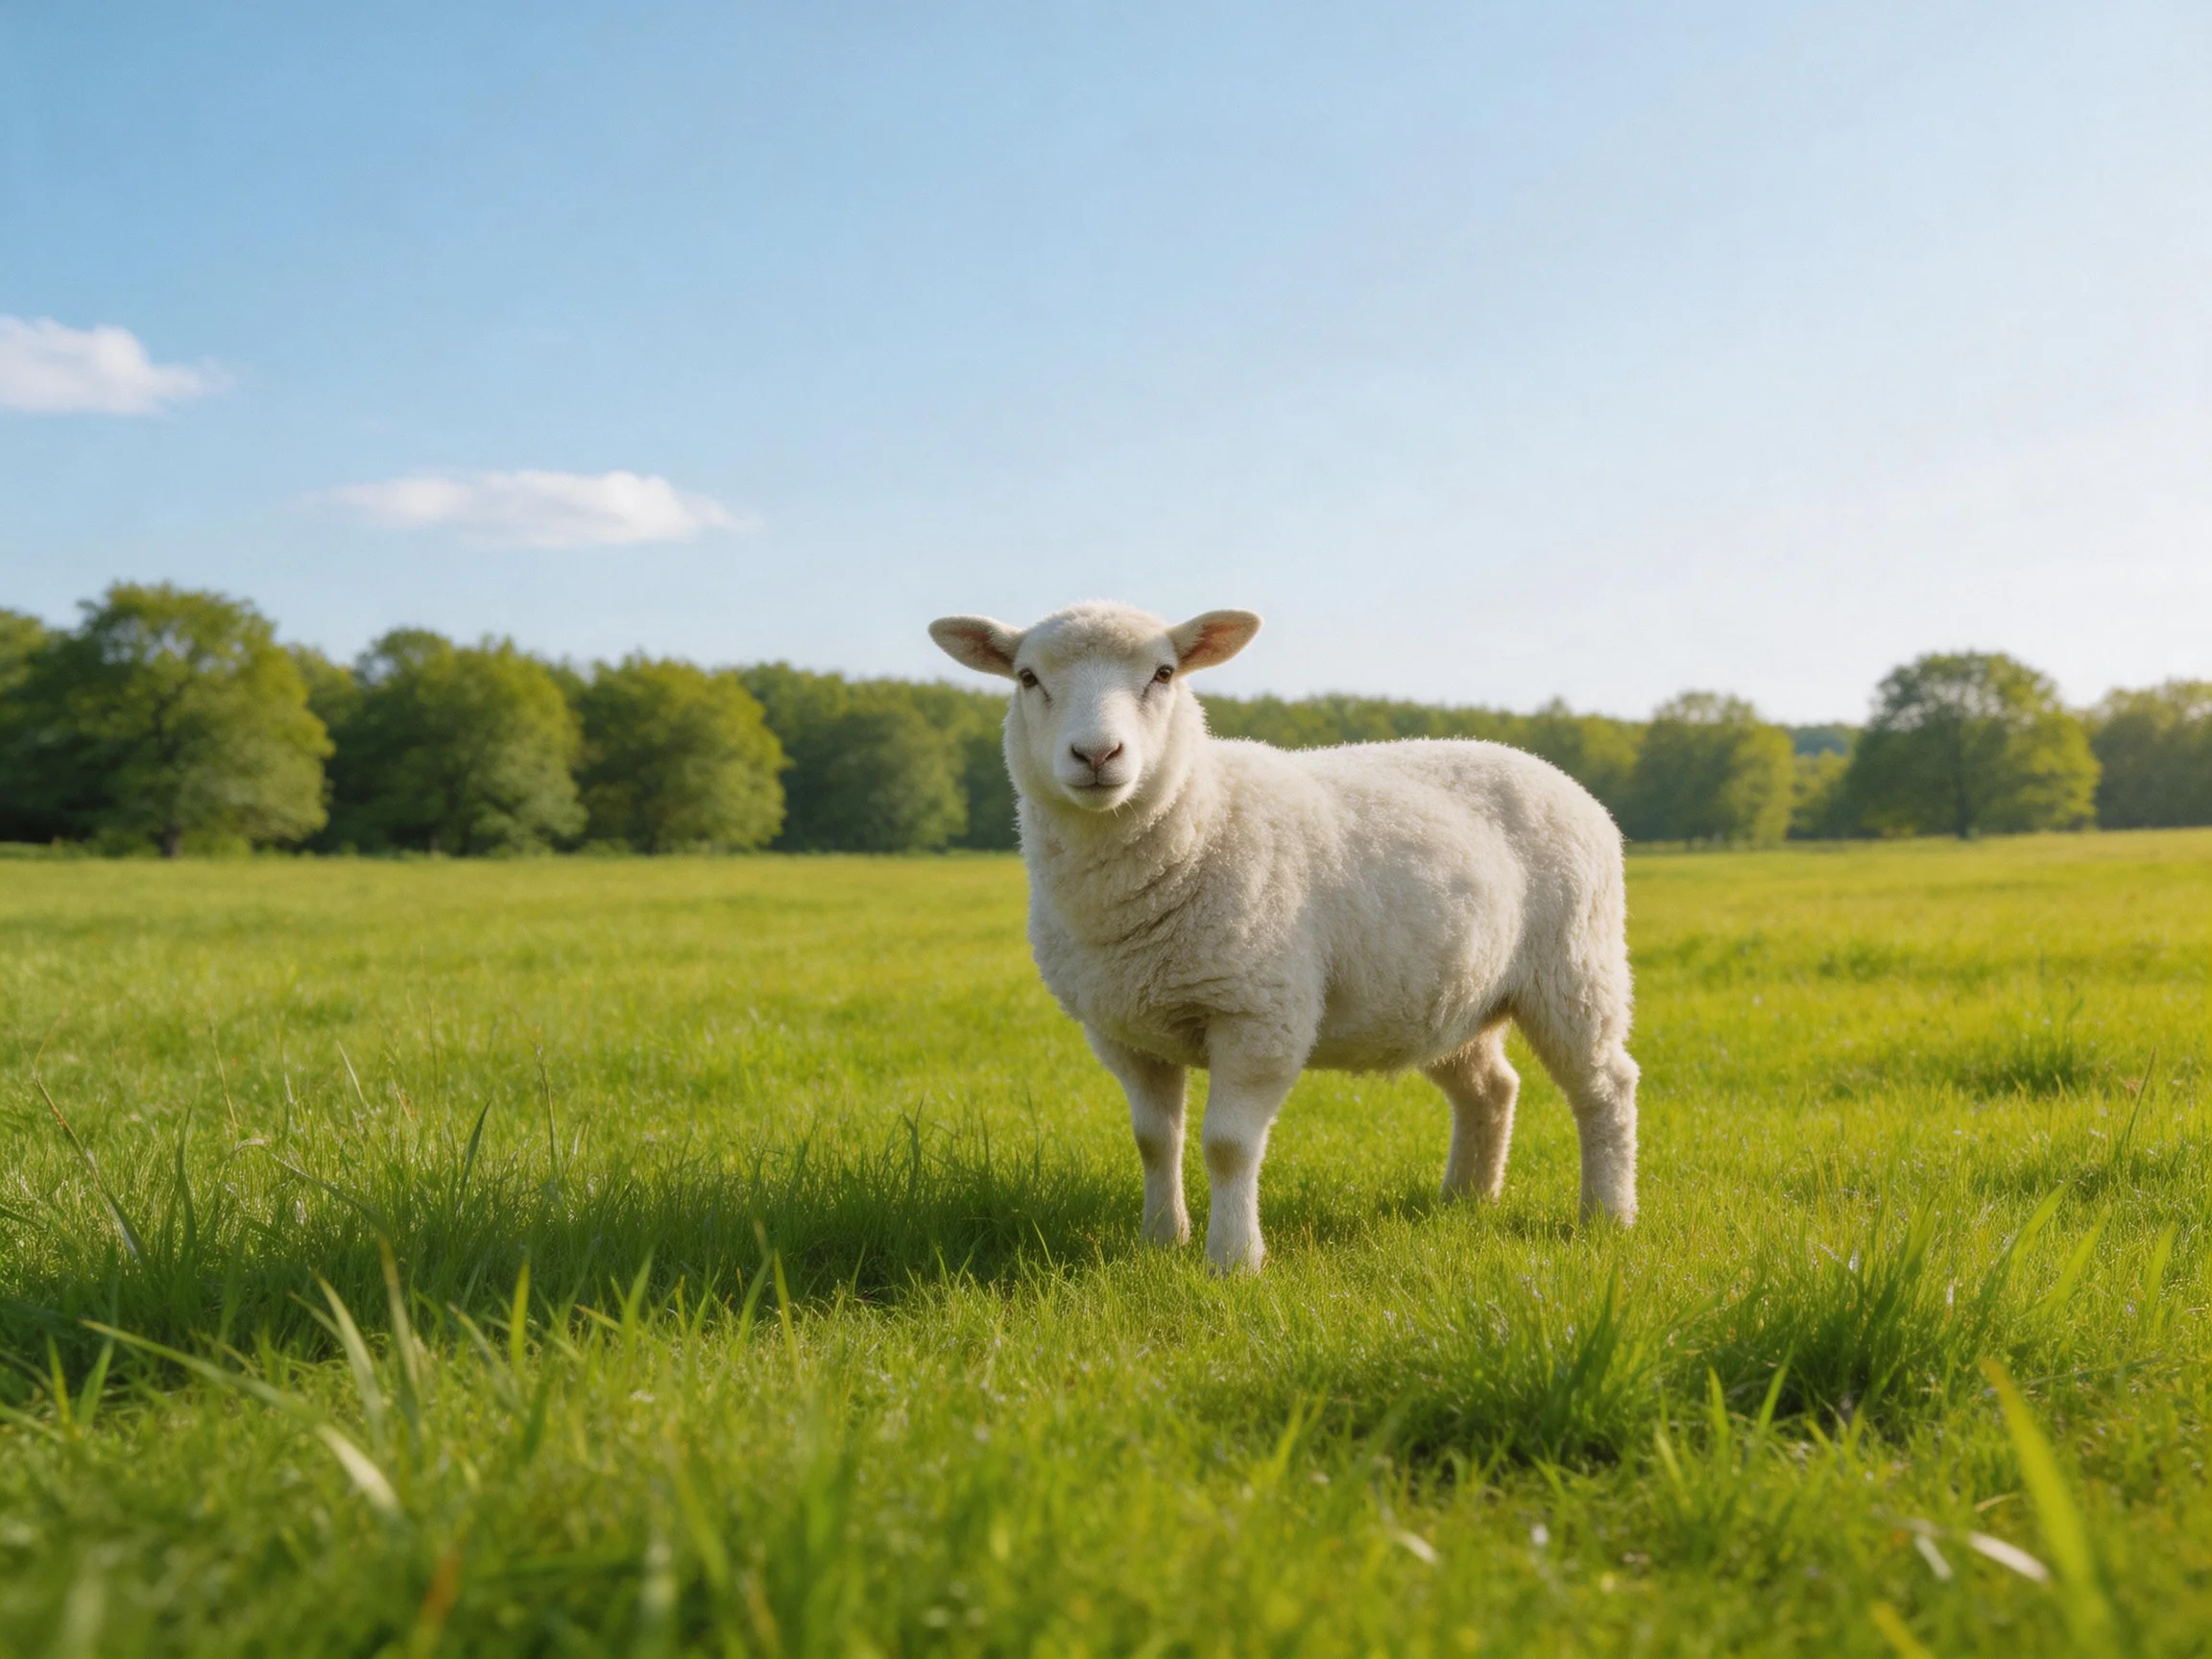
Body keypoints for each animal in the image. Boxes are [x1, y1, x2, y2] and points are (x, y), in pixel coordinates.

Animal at [928, 601, 1639, 1272]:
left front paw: (1233, 1261)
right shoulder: (1123, 1030)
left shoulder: (1259, 1014)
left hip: (1576, 966)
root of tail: (1554, 774)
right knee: (1491, 1088)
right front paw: (1160, 1241)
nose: (1097, 756)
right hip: (1449, 994)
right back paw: (1466, 1200)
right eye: (1027, 677)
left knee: (1606, 1087)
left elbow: (1227, 1145)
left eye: (1164, 673)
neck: (1200, 819)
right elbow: (1155, 1141)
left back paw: (1606, 1216)